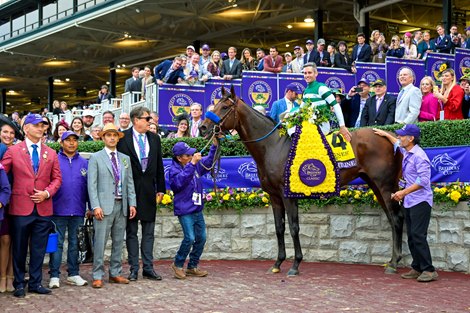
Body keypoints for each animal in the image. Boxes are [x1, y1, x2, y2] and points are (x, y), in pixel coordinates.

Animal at [199, 86, 404, 276]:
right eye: (214, 104)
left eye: (225, 107)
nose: (203, 127)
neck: (273, 146)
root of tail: (389, 137)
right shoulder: (274, 196)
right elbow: (279, 228)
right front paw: (277, 263)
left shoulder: (288, 195)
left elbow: (294, 227)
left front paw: (295, 264)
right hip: (375, 185)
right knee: (392, 218)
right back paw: (391, 260)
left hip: (385, 185)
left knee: (396, 218)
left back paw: (394, 263)